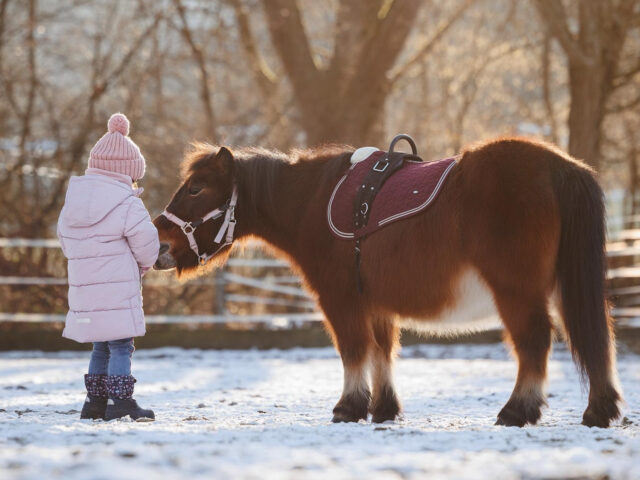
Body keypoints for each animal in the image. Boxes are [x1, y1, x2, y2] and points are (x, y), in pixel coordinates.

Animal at [152, 138, 624, 428]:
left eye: (195, 188)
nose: (159, 240)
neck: (313, 201)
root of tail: (561, 167)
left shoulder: (341, 300)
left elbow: (353, 350)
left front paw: (349, 406)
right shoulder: (375, 303)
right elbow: (382, 352)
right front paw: (383, 409)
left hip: (517, 293)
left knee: (534, 343)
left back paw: (517, 411)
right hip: (562, 288)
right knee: (595, 338)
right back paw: (599, 411)